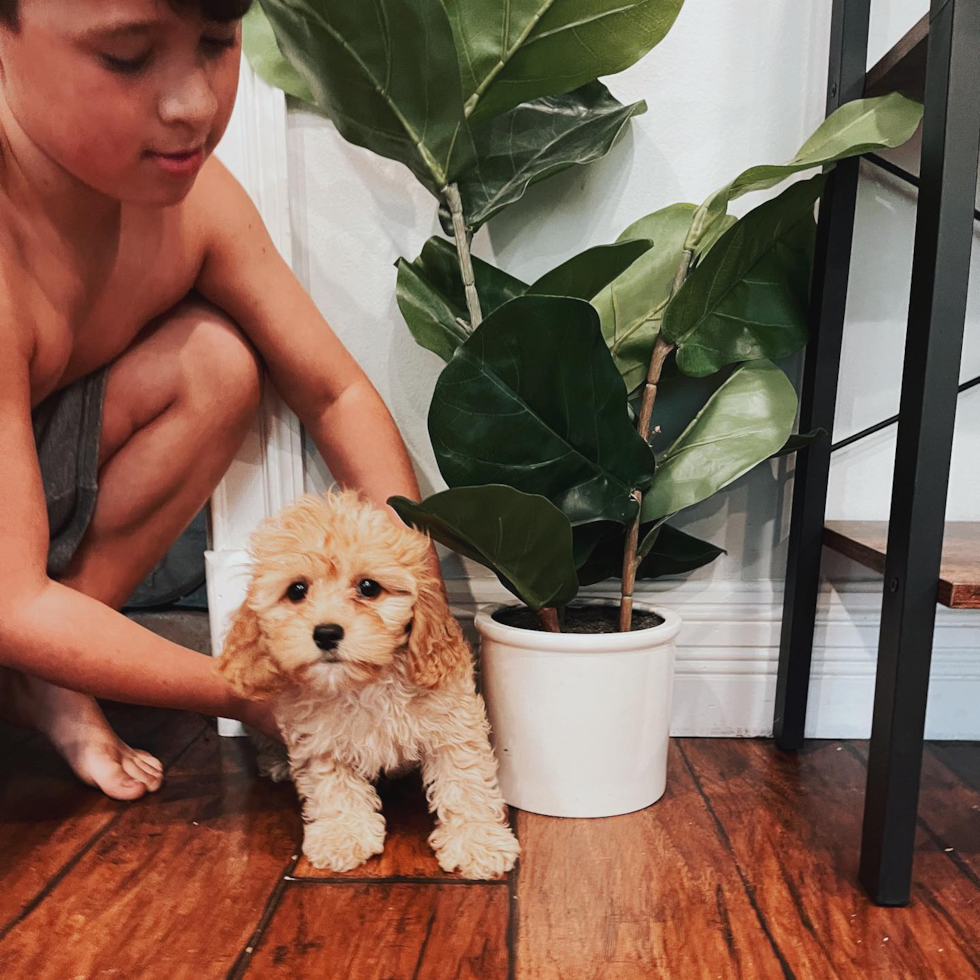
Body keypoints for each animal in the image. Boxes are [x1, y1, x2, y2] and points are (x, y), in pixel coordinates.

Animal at [215, 490, 520, 880]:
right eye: (297, 590)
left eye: (368, 587)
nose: (326, 632)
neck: (365, 683)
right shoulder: (318, 739)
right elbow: (333, 786)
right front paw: (342, 835)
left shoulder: (451, 723)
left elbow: (465, 782)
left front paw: (477, 842)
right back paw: (276, 762)